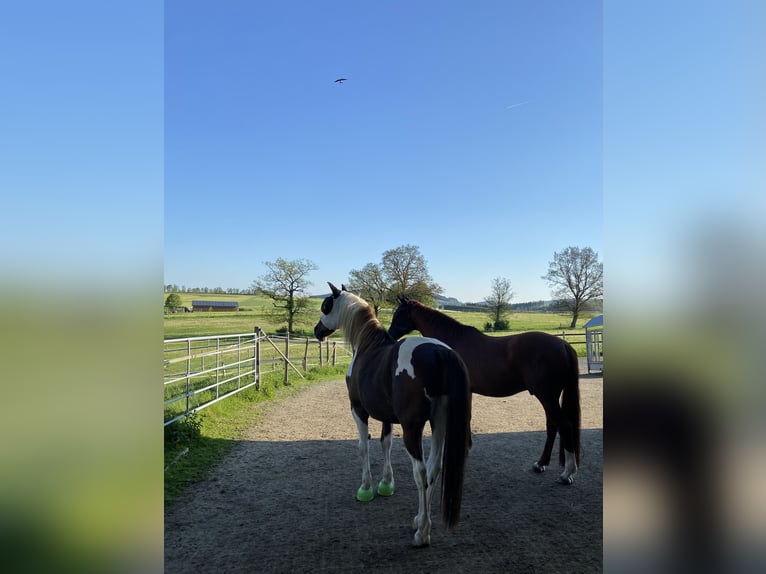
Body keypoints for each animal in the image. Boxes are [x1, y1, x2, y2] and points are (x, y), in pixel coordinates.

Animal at [314, 286, 474, 548]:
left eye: (326, 305)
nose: (317, 331)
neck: (367, 346)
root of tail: (440, 352)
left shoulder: (358, 410)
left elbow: (363, 447)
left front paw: (366, 488)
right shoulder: (386, 415)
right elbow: (385, 443)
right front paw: (386, 484)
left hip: (412, 429)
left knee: (420, 472)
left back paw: (422, 533)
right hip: (439, 424)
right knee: (434, 468)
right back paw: (420, 520)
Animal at [390, 296, 584, 486]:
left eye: (399, 315)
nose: (390, 336)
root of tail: (563, 344)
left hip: (547, 396)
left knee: (564, 425)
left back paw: (567, 473)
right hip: (549, 397)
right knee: (552, 426)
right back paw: (541, 463)